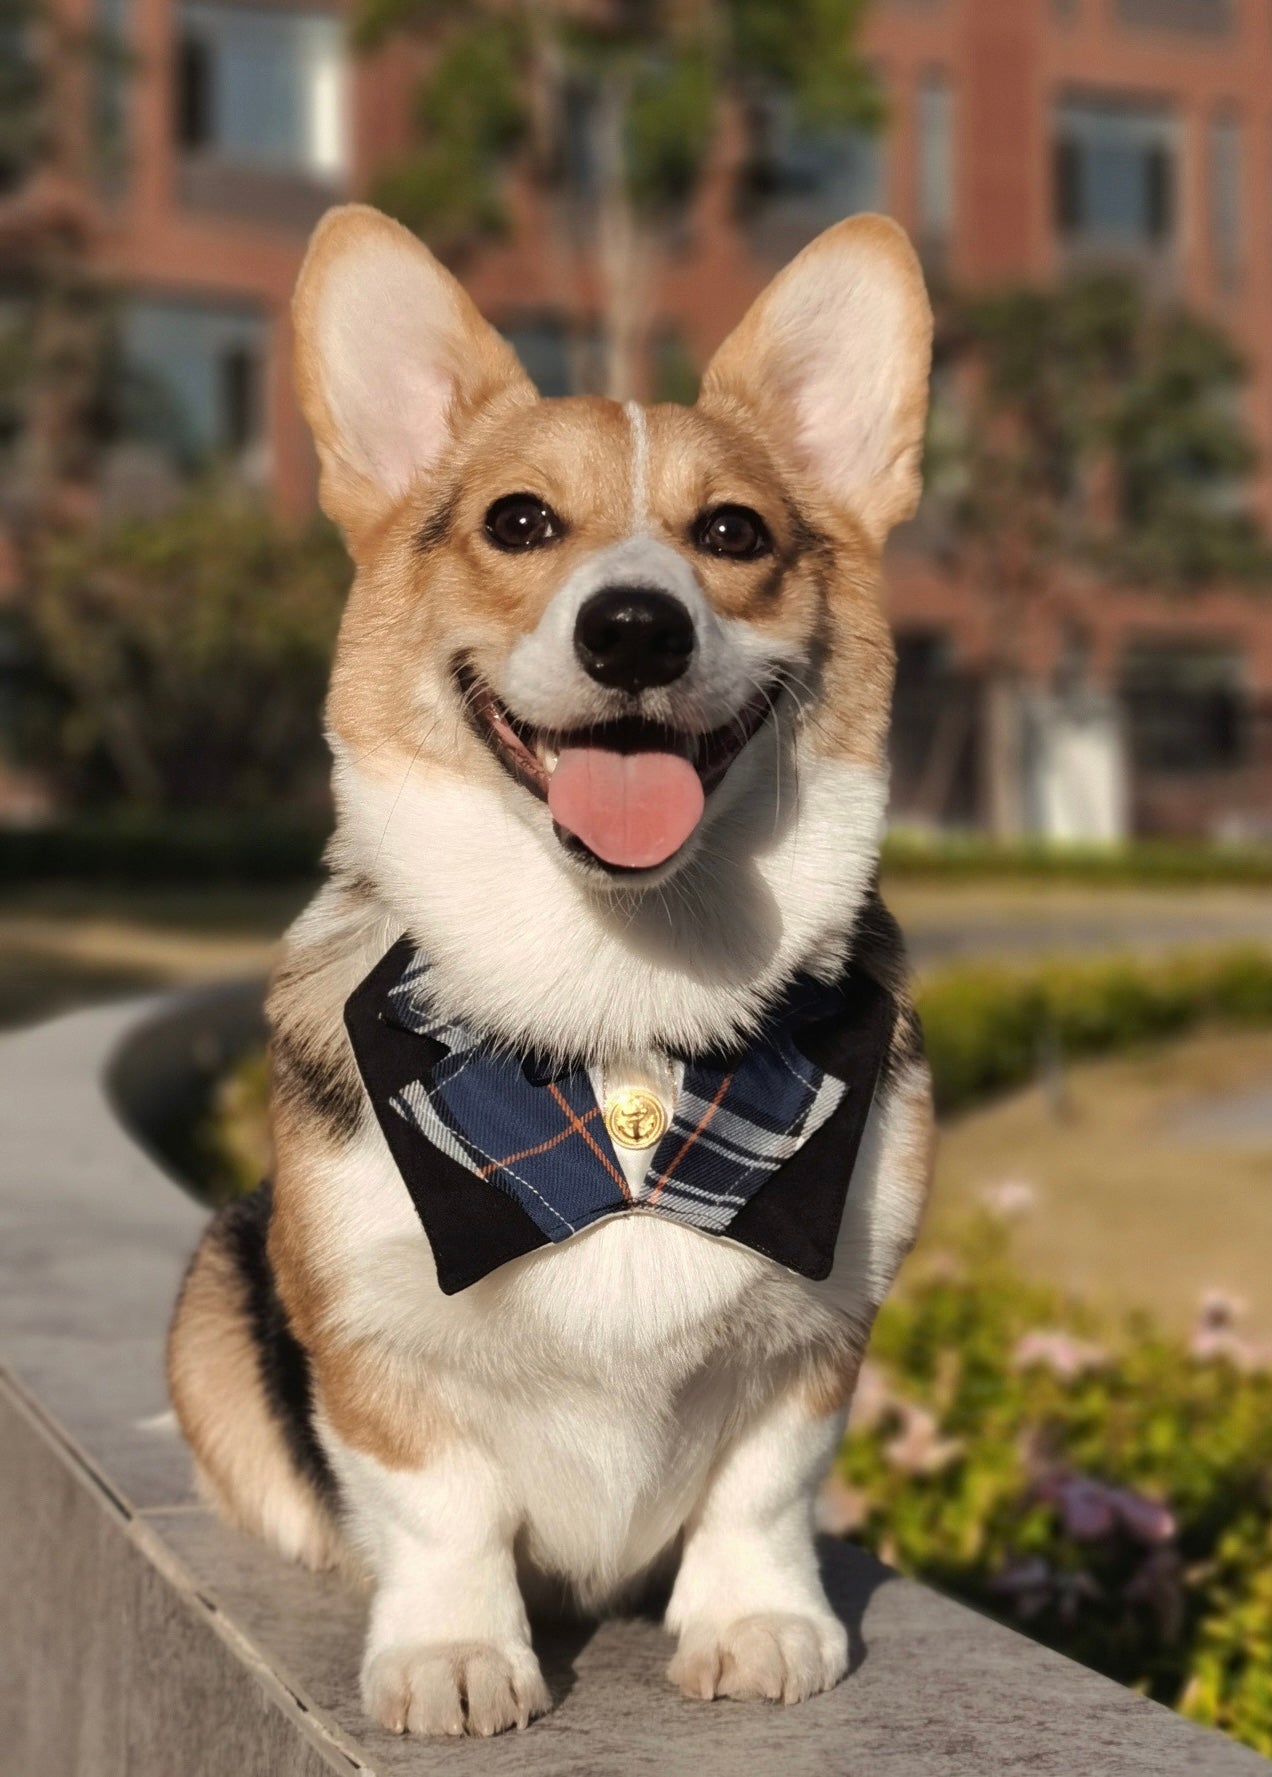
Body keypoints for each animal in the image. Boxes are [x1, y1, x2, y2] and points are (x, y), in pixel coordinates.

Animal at [166, 204, 930, 1734]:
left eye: (733, 532)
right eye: (518, 520)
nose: (635, 626)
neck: (618, 1018)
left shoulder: (822, 1337)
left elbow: (764, 1491)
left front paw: (757, 1624)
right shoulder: (369, 1338)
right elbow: (441, 1505)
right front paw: (453, 1655)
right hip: (212, 1293)